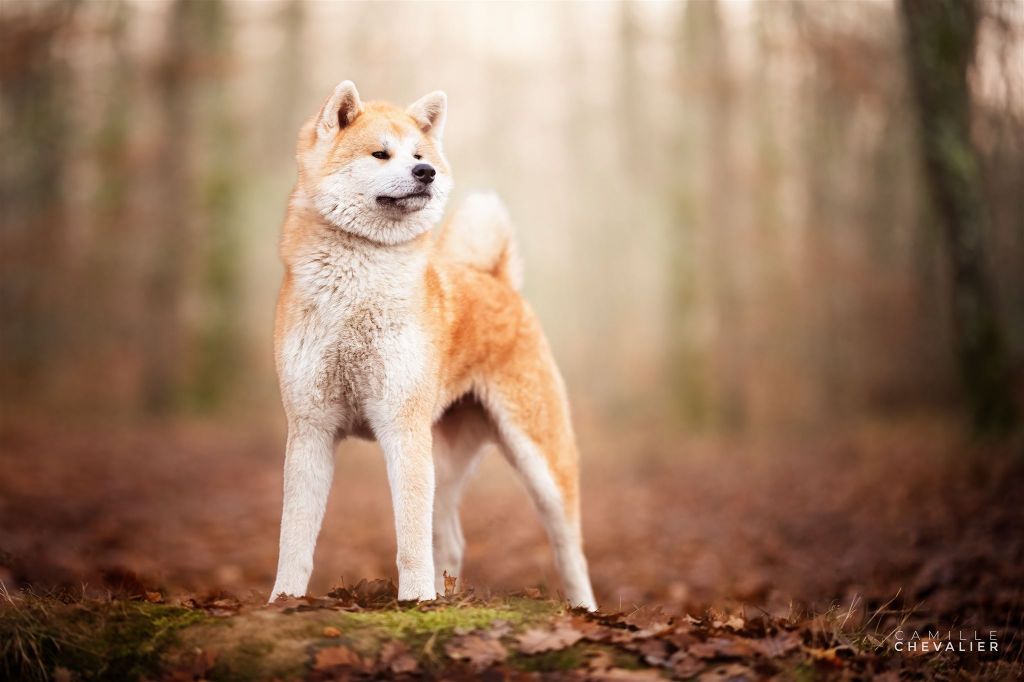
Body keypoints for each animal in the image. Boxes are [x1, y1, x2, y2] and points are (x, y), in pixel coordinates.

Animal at [268, 80, 598, 610]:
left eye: (420, 155)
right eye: (381, 153)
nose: (426, 173)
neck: (360, 284)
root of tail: (496, 279)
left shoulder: (401, 427)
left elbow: (409, 538)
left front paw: (415, 601)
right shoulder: (311, 427)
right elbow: (295, 536)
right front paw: (283, 601)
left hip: (537, 458)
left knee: (568, 546)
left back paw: (583, 608)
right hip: (442, 460)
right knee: (453, 539)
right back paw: (446, 594)